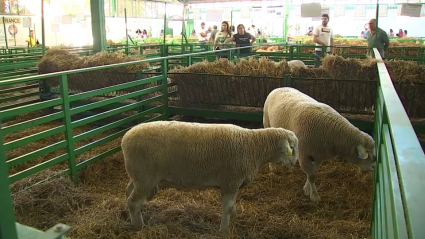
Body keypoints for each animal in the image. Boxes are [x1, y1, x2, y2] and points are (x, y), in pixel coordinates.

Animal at [120, 120, 298, 232]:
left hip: (139, 175)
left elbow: (233, 204)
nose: (296, 162)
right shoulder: (230, 181)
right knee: (134, 202)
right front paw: (224, 229)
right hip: (145, 177)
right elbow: (227, 207)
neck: (254, 146)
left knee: (128, 192)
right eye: (292, 147)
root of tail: (125, 139)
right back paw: (139, 226)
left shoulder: (234, 182)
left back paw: (128, 217)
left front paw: (234, 216)